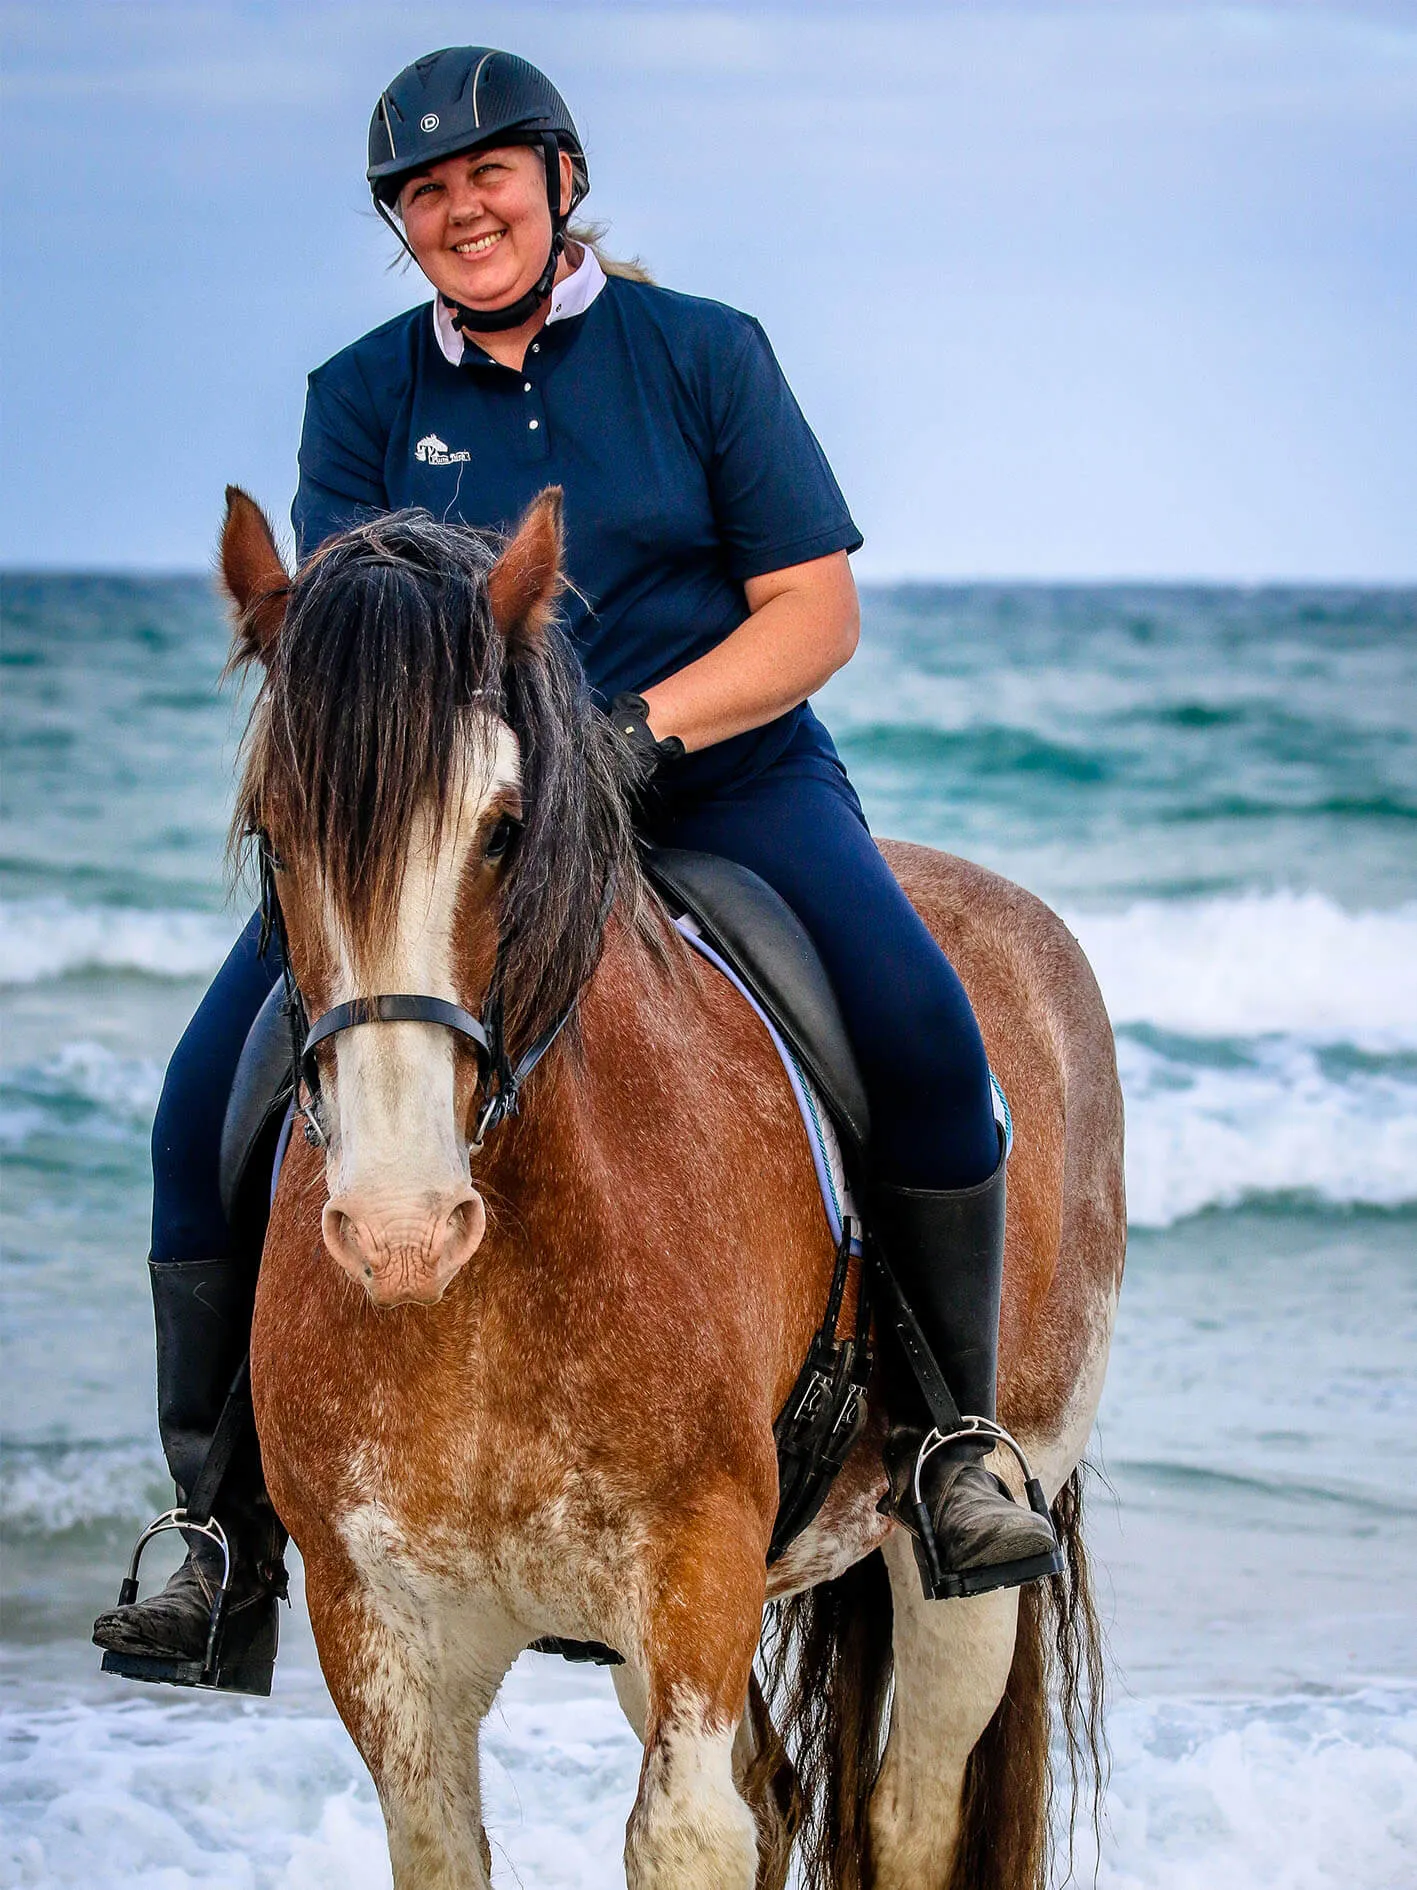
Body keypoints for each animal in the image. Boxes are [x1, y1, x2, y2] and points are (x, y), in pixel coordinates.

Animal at [221, 491, 1126, 1890]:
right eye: (274, 828)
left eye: (501, 828)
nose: (400, 1229)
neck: (486, 1299)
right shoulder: (382, 1636)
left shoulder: (694, 1574)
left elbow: (687, 1836)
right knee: (784, 1792)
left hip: (967, 1542)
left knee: (910, 1811)